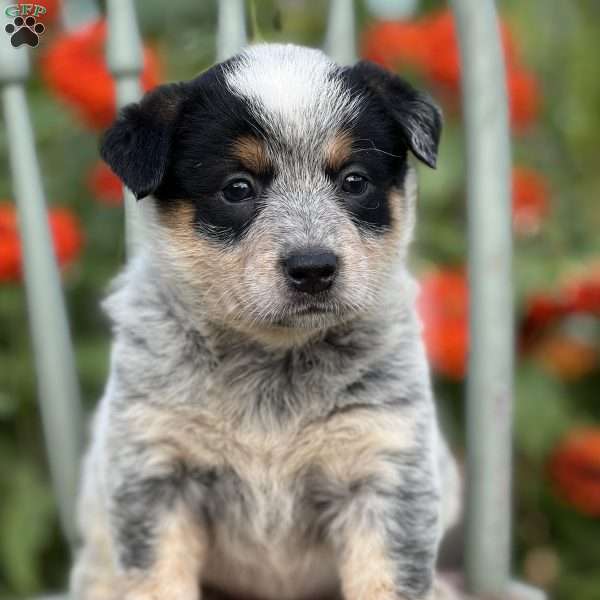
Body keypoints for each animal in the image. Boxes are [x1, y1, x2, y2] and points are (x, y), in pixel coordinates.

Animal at [72, 43, 462, 600]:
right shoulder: (155, 469)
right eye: (237, 188)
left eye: (355, 180)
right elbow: (155, 578)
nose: (313, 267)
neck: (272, 362)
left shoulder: (384, 467)